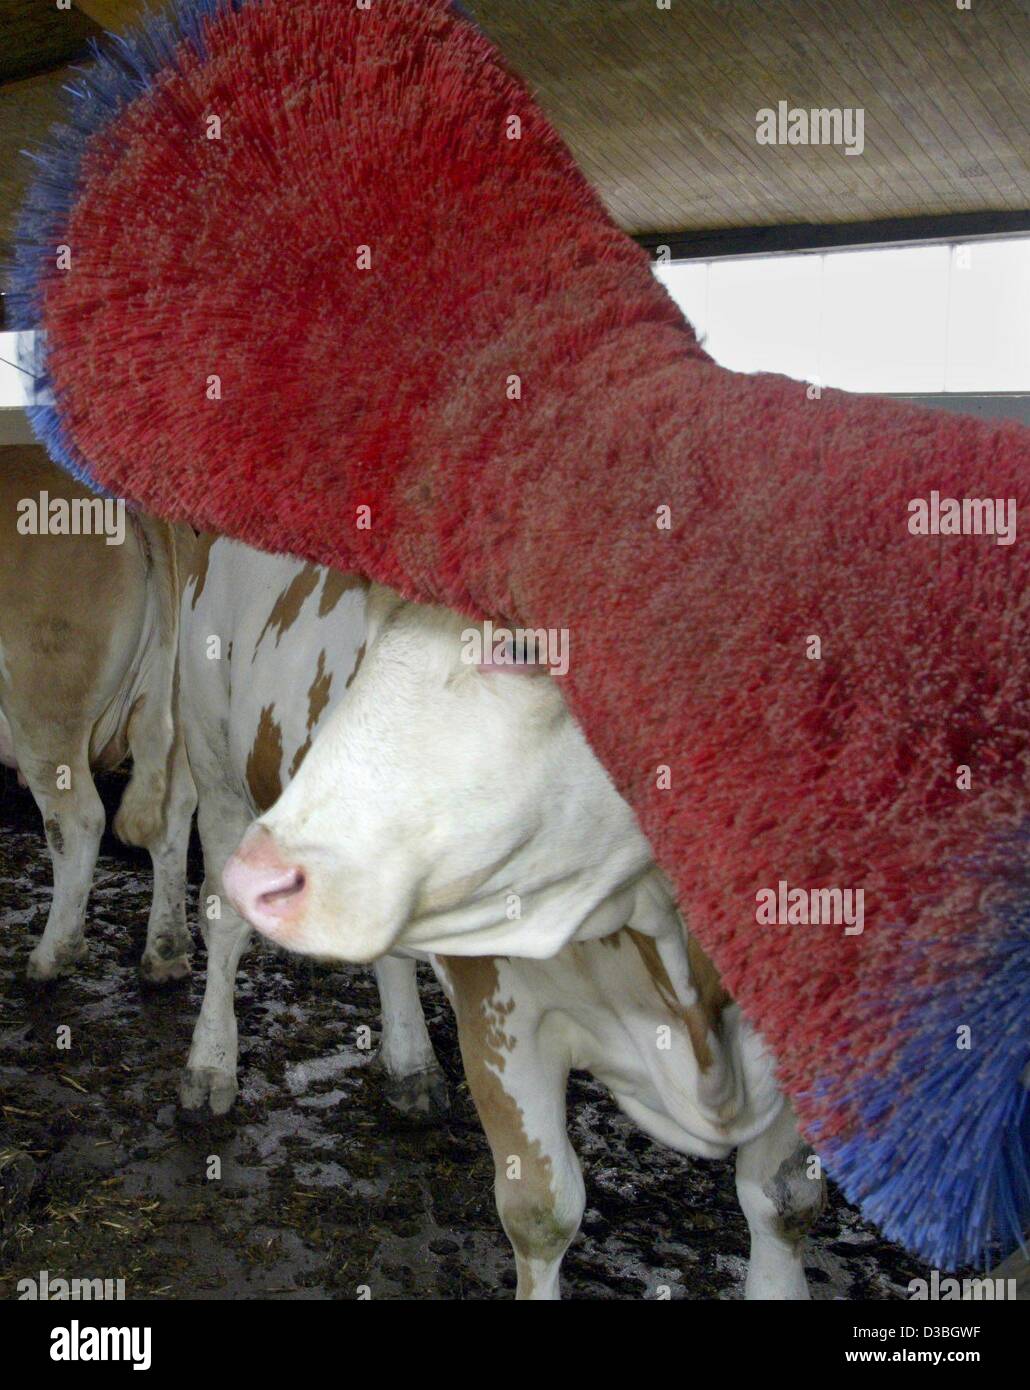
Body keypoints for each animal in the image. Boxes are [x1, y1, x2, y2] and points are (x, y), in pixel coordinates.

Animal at [0, 442, 194, 978]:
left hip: (45, 709)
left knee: (79, 819)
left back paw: (53, 956)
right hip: (177, 706)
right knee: (176, 805)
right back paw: (165, 955)